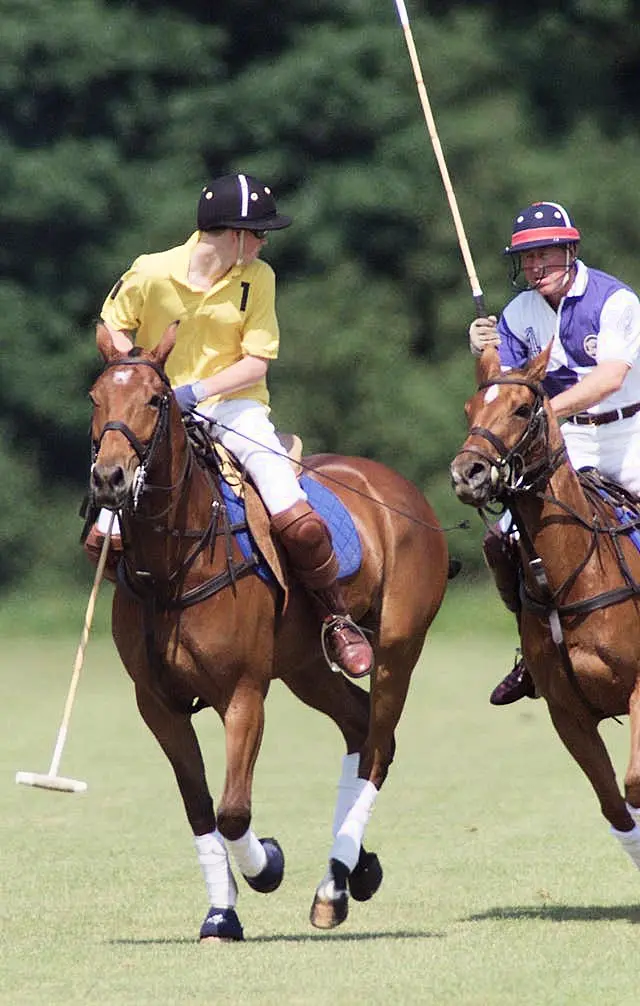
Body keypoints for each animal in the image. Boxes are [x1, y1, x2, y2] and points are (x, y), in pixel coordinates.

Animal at [87, 323, 450, 941]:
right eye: (95, 398)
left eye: (157, 400)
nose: (110, 478)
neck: (172, 565)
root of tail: (400, 487)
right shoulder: (156, 703)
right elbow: (200, 808)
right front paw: (220, 913)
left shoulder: (243, 692)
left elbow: (234, 810)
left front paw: (268, 867)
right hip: (304, 665)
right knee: (358, 726)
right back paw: (352, 872)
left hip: (398, 649)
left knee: (378, 745)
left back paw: (334, 887)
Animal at [446, 344, 640, 873]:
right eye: (469, 410)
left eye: (520, 409)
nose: (467, 473)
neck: (576, 571)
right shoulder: (566, 713)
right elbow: (616, 806)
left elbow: (634, 783)